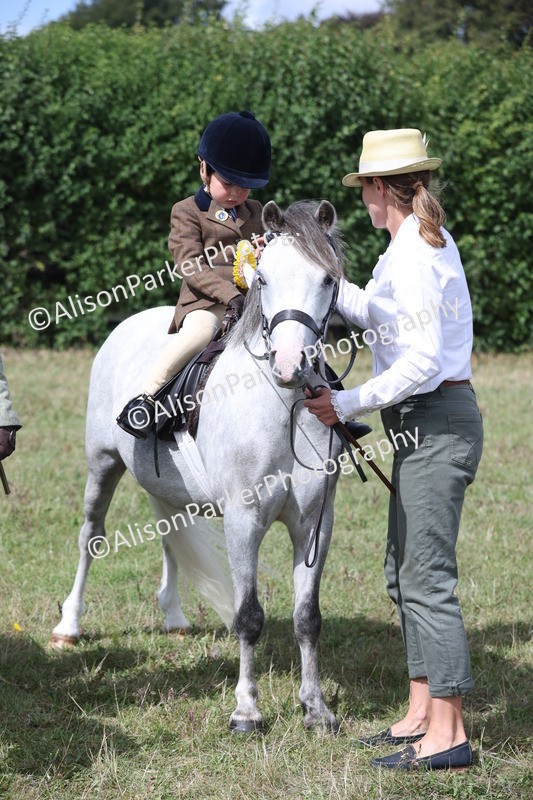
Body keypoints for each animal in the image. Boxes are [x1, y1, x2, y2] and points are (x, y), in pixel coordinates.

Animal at [52, 199, 346, 733]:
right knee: (91, 538)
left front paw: (316, 709)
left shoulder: (316, 523)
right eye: (263, 277)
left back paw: (174, 618)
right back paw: (69, 625)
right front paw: (246, 711)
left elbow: (307, 617)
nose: (289, 364)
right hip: (101, 465)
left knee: (169, 537)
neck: (283, 405)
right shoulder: (243, 519)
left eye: (327, 279)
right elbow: (248, 616)